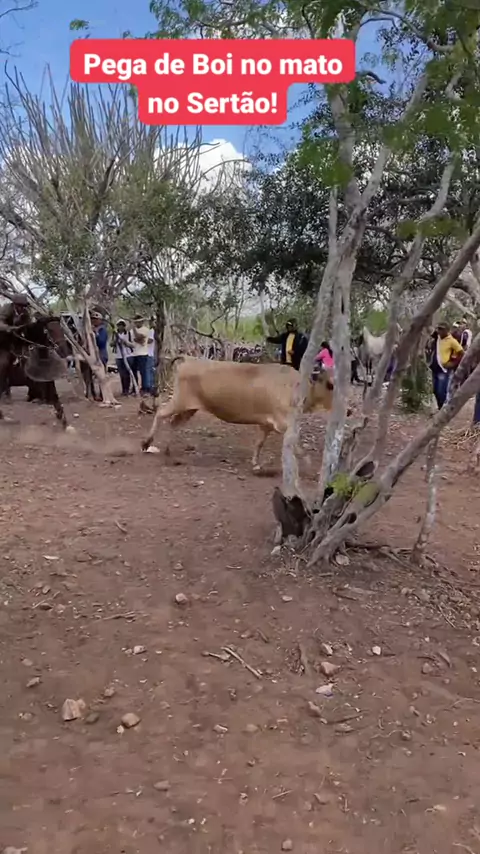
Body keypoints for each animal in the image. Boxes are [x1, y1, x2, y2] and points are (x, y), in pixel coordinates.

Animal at [141, 356, 335, 471]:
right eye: (330, 384)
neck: (296, 387)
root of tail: (189, 358)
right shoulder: (282, 423)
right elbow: (298, 445)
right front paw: (309, 463)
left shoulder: (266, 424)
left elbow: (259, 443)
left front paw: (255, 463)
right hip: (179, 401)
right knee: (160, 412)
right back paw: (146, 442)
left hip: (189, 409)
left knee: (173, 423)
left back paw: (168, 450)